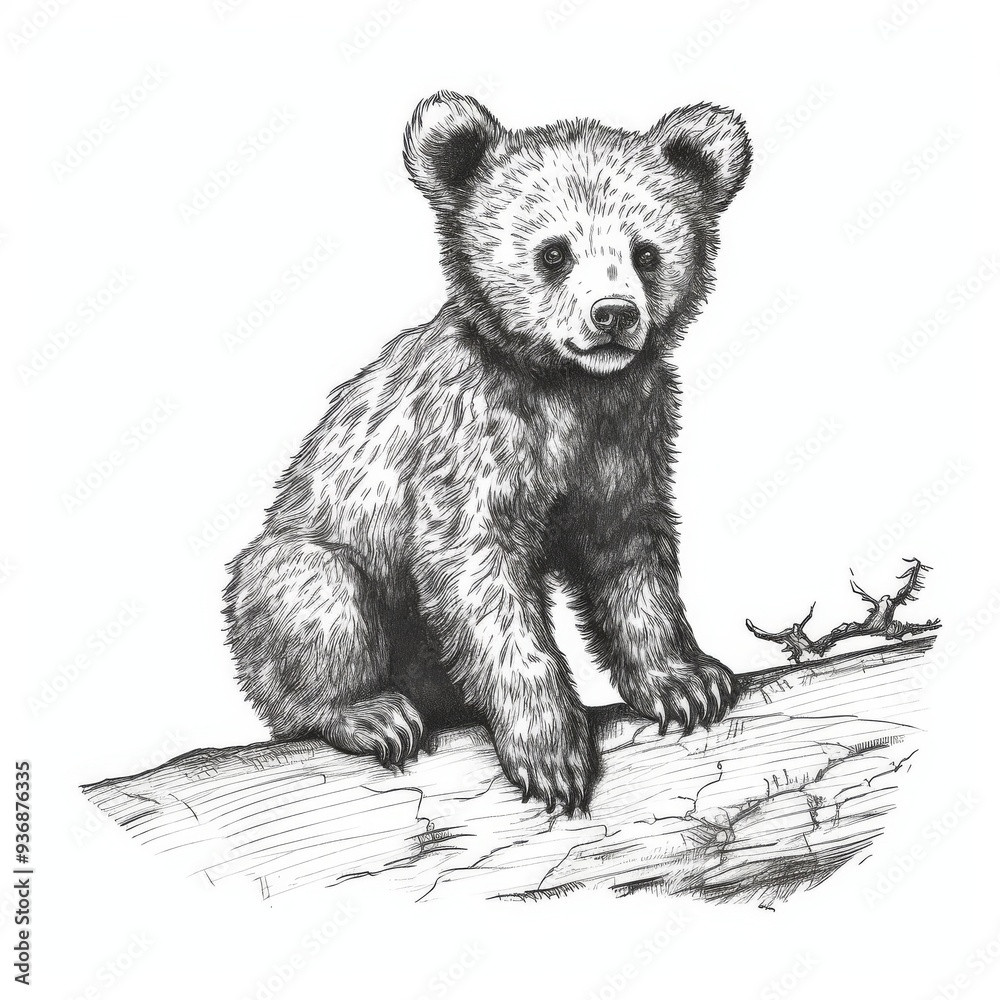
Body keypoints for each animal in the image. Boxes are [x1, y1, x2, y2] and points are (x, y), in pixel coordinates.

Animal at [224, 91, 751, 815]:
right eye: (554, 252)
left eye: (646, 253)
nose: (613, 315)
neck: (567, 389)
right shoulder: (466, 441)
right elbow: (478, 577)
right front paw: (549, 748)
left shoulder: (625, 437)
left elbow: (630, 557)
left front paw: (684, 680)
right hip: (305, 561)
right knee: (312, 593)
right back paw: (366, 712)